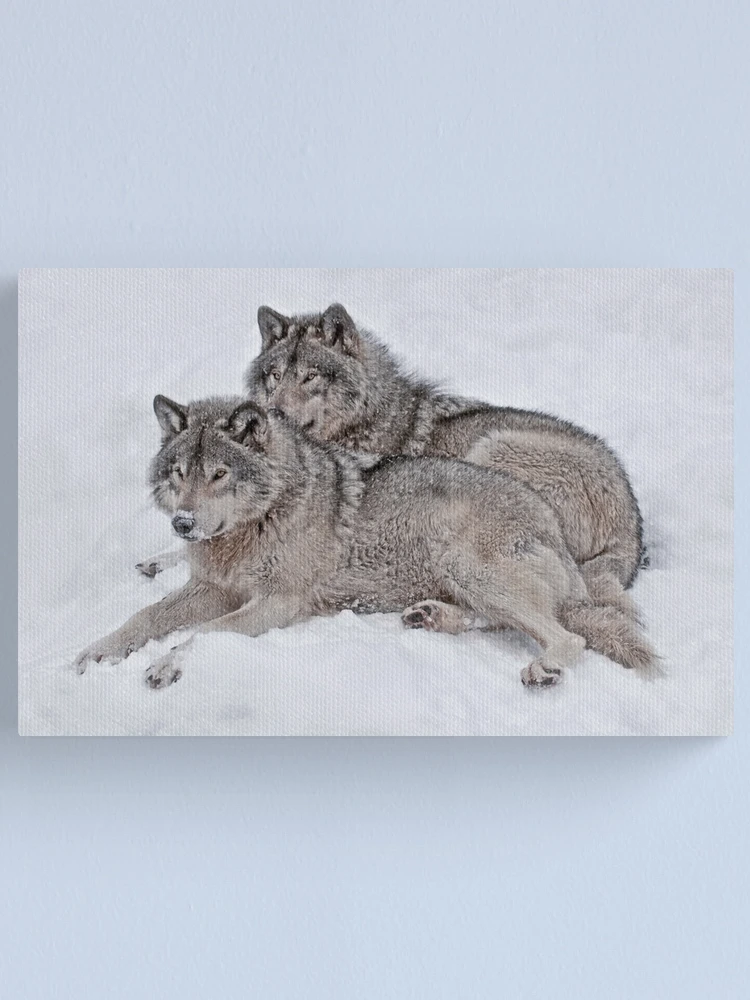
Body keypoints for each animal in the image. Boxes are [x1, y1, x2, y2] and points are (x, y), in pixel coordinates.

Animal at [77, 395, 654, 689]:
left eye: (219, 474)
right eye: (179, 473)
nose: (183, 524)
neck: (261, 520)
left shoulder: (278, 602)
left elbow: (205, 633)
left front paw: (165, 664)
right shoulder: (213, 588)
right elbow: (144, 618)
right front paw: (95, 652)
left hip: (470, 562)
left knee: (567, 637)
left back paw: (542, 667)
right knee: (505, 620)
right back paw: (431, 616)